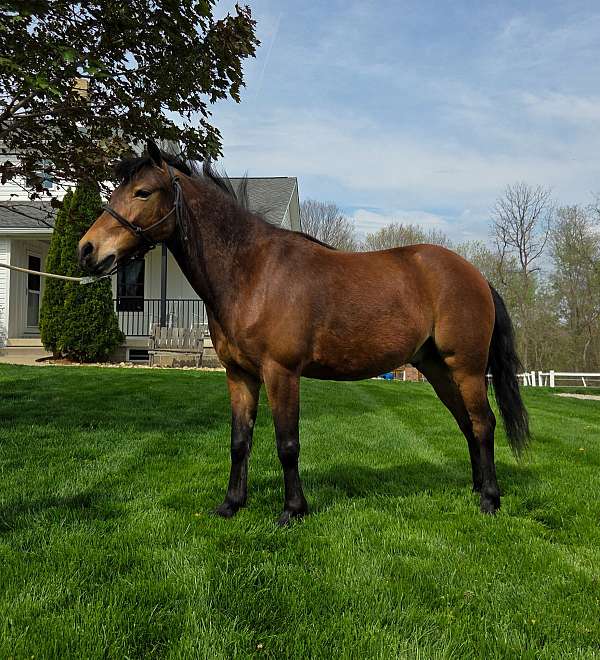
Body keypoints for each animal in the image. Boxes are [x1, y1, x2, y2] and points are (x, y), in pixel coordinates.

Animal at [78, 141, 529, 525]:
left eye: (143, 192)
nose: (87, 250)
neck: (253, 272)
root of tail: (476, 276)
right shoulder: (239, 375)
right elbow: (239, 441)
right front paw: (231, 504)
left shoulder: (282, 373)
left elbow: (287, 443)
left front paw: (292, 510)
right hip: (437, 369)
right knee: (467, 423)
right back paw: (477, 490)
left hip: (466, 368)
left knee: (483, 423)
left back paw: (491, 500)